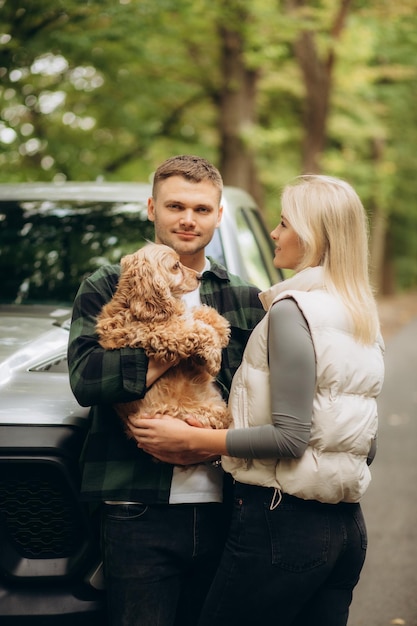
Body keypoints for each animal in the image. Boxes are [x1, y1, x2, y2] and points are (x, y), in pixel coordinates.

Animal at [96, 241, 231, 432]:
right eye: (176, 266)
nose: (199, 277)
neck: (132, 304)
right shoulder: (163, 334)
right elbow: (199, 330)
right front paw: (214, 359)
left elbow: (198, 314)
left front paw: (220, 326)